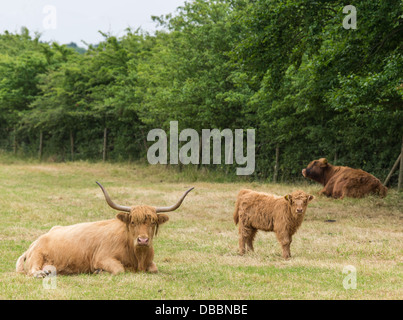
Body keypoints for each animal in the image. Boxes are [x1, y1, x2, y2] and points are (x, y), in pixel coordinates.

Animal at [17, 182, 196, 278]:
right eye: (132, 222)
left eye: (152, 222)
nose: (143, 240)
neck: (137, 256)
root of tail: (35, 242)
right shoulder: (103, 258)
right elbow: (119, 270)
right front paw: (98, 271)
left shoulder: (150, 263)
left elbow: (154, 268)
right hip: (38, 256)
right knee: (32, 270)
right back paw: (41, 274)